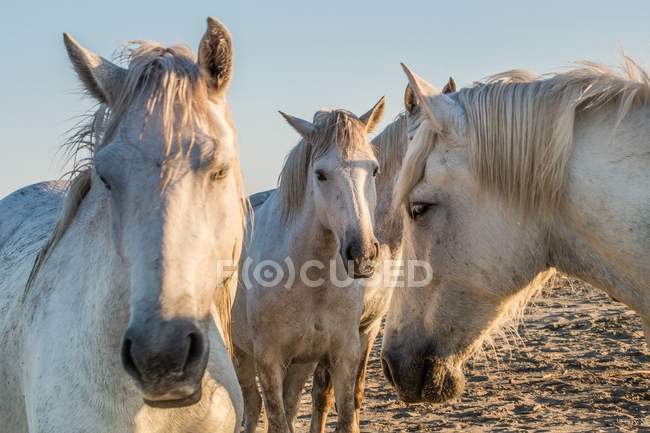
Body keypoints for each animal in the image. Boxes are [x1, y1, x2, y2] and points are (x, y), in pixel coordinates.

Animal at [233, 101, 384, 432]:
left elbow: (345, 416)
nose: (362, 254)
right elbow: (276, 421)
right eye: (320, 174)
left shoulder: (343, 355)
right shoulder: (268, 361)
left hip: (300, 365)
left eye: (374, 169)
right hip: (241, 354)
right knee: (251, 408)